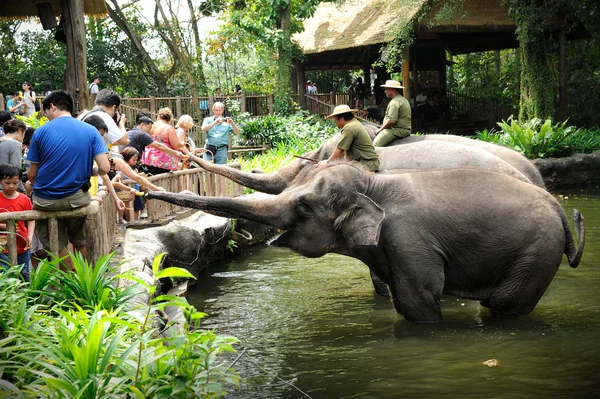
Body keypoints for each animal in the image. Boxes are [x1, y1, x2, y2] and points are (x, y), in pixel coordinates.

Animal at [148, 161, 584, 324]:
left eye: (303, 205)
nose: (143, 191)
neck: (374, 183)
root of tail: (561, 208)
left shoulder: (408, 240)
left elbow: (418, 303)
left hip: (536, 254)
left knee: (507, 306)